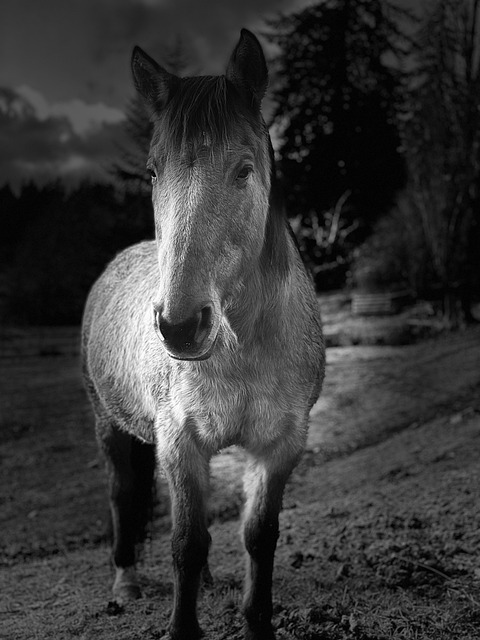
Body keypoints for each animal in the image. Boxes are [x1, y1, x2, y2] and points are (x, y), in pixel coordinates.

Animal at [80, 27, 324, 636]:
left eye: (244, 168)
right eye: (152, 171)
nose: (180, 326)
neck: (245, 344)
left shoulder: (280, 445)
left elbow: (257, 536)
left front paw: (256, 622)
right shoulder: (180, 441)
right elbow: (185, 542)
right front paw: (181, 626)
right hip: (110, 427)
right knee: (122, 498)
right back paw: (125, 583)